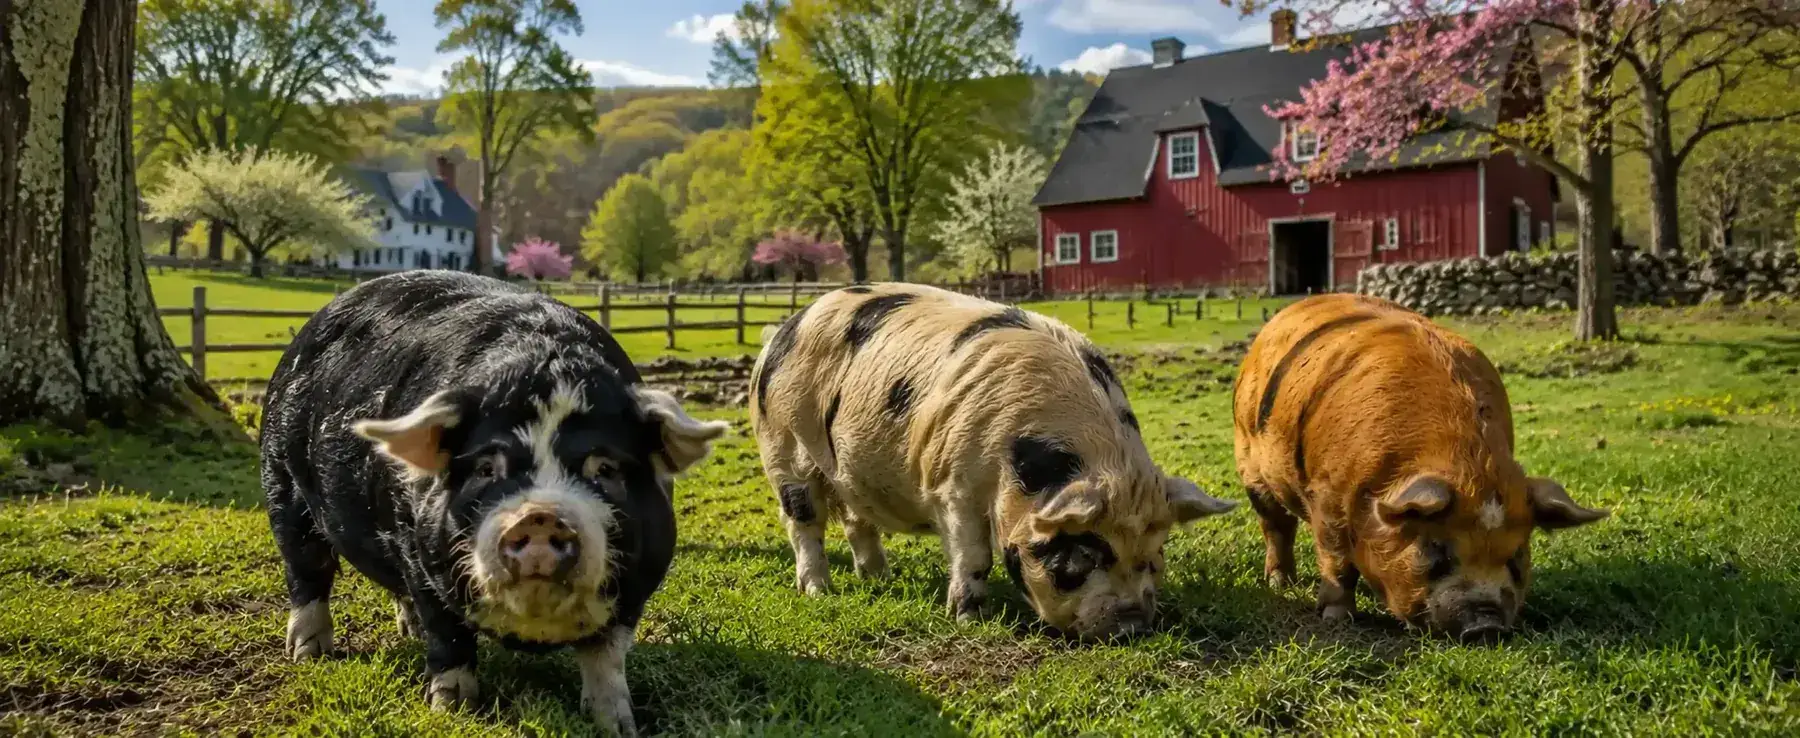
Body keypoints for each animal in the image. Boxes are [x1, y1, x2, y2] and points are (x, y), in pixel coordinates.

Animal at [260, 271, 727, 735]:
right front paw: (450, 709)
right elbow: (449, 637)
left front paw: (617, 724)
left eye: (606, 468)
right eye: (486, 467)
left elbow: (606, 657)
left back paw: (405, 632)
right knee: (307, 570)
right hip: (281, 483)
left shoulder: (639, 584)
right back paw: (308, 654)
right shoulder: (422, 558)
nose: (539, 516)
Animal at [750, 284, 1236, 639]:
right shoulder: (953, 485)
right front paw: (969, 619)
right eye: (1083, 553)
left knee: (857, 521)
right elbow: (974, 555)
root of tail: (782, 330)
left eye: (1155, 555)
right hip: (784, 449)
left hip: (849, 473)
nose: (1133, 628)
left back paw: (879, 580)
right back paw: (819, 592)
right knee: (803, 523)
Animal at [1233, 294, 1608, 640]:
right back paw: (1280, 583)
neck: (1468, 462)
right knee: (1276, 526)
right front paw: (1336, 619)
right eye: (1436, 549)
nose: (1485, 626)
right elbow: (1337, 561)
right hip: (1249, 463)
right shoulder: (1327, 494)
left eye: (1517, 555)